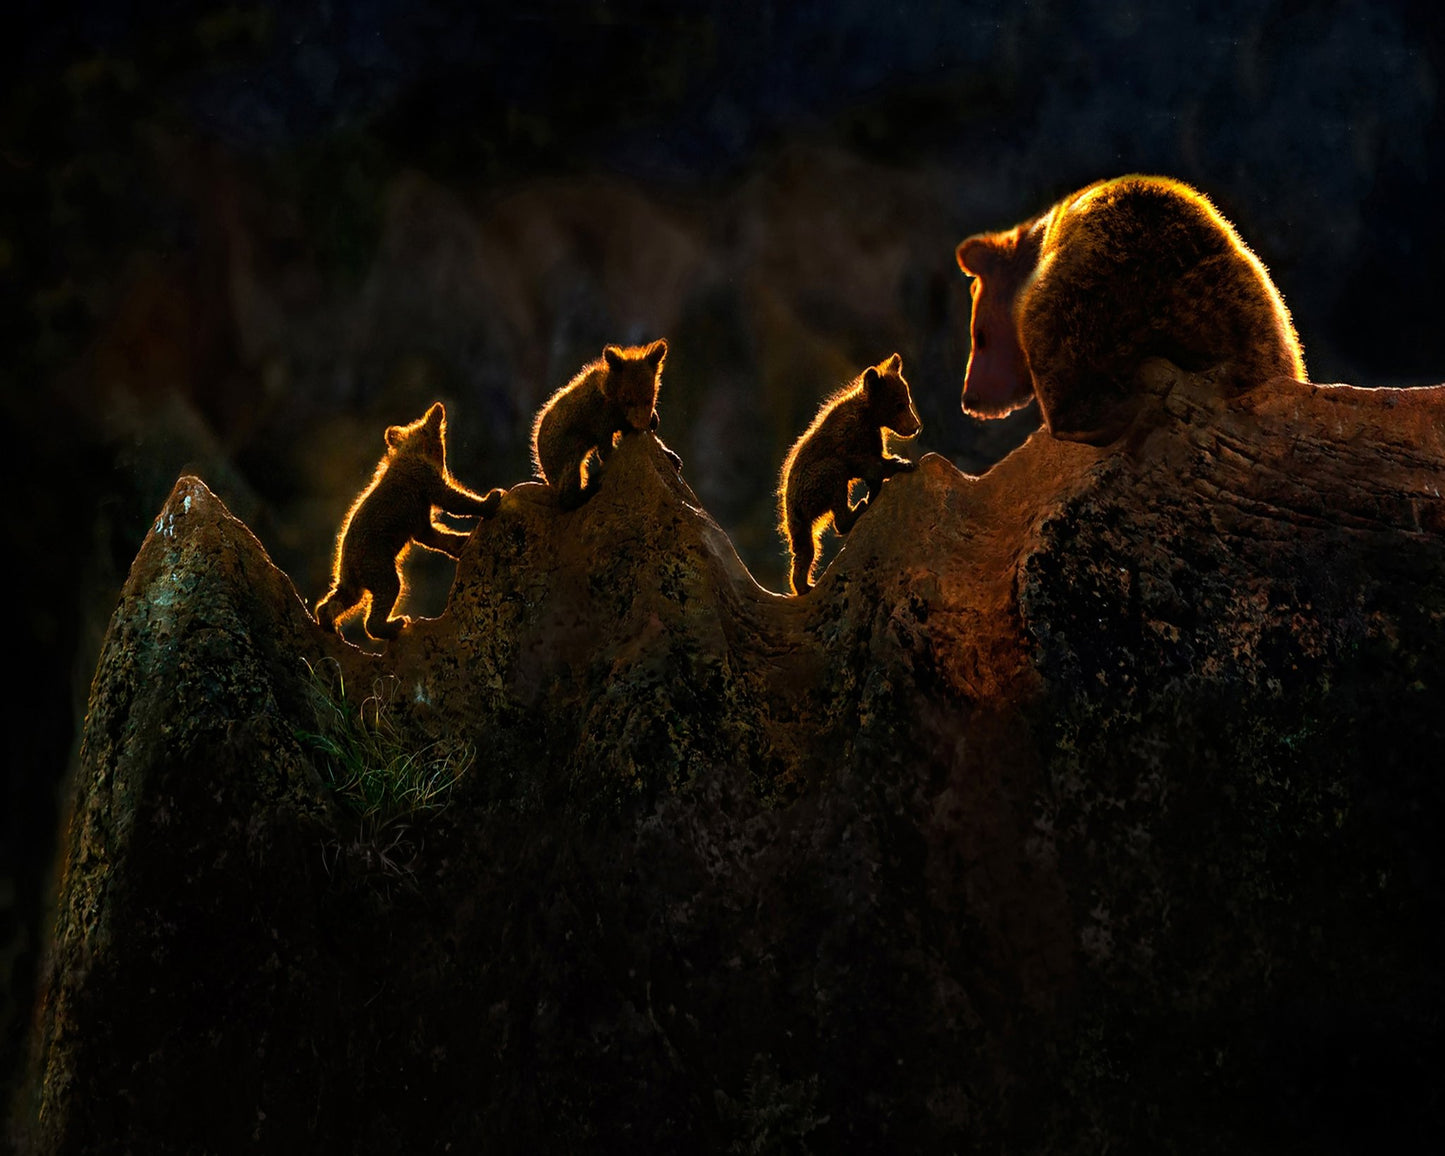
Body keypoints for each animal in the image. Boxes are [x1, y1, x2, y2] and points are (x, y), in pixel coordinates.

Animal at [315, 402, 503, 642]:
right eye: (443, 449)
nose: (447, 469)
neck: (415, 452)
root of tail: (346, 563)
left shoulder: (419, 513)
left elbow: (432, 535)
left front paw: (462, 541)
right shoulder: (423, 480)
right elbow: (452, 499)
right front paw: (492, 498)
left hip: (352, 577)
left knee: (344, 597)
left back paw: (329, 623)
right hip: (375, 559)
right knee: (388, 588)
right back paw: (394, 623)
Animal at [531, 339, 682, 510]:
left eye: (649, 398)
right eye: (628, 399)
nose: (642, 423)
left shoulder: (624, 421)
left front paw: (671, 455)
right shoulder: (601, 420)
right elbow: (606, 450)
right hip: (564, 451)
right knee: (569, 481)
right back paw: (587, 490)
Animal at [778, 353, 922, 595]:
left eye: (908, 401)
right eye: (899, 404)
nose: (916, 426)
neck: (870, 416)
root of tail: (790, 509)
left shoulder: (873, 437)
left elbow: (876, 460)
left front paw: (890, 470)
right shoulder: (849, 438)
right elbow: (866, 464)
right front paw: (903, 463)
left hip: (801, 519)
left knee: (805, 550)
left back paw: (805, 584)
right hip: (814, 484)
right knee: (835, 481)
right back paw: (857, 508)